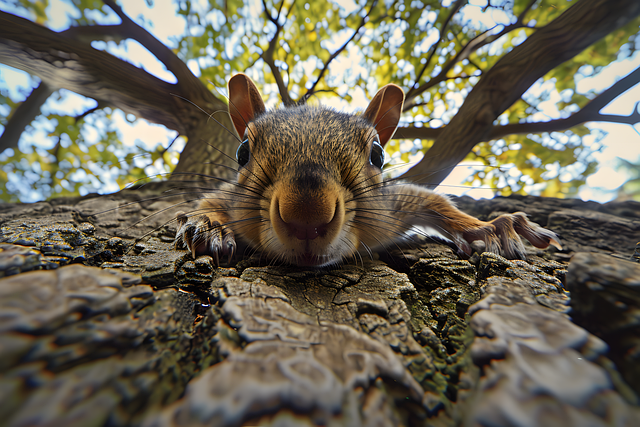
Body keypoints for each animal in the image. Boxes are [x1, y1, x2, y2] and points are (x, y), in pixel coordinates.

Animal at [174, 74, 560, 268]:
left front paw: (489, 227)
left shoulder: (390, 207)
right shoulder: (230, 195)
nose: (306, 218)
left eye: (378, 154)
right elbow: (209, 201)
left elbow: (436, 203)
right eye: (242, 152)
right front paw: (208, 225)